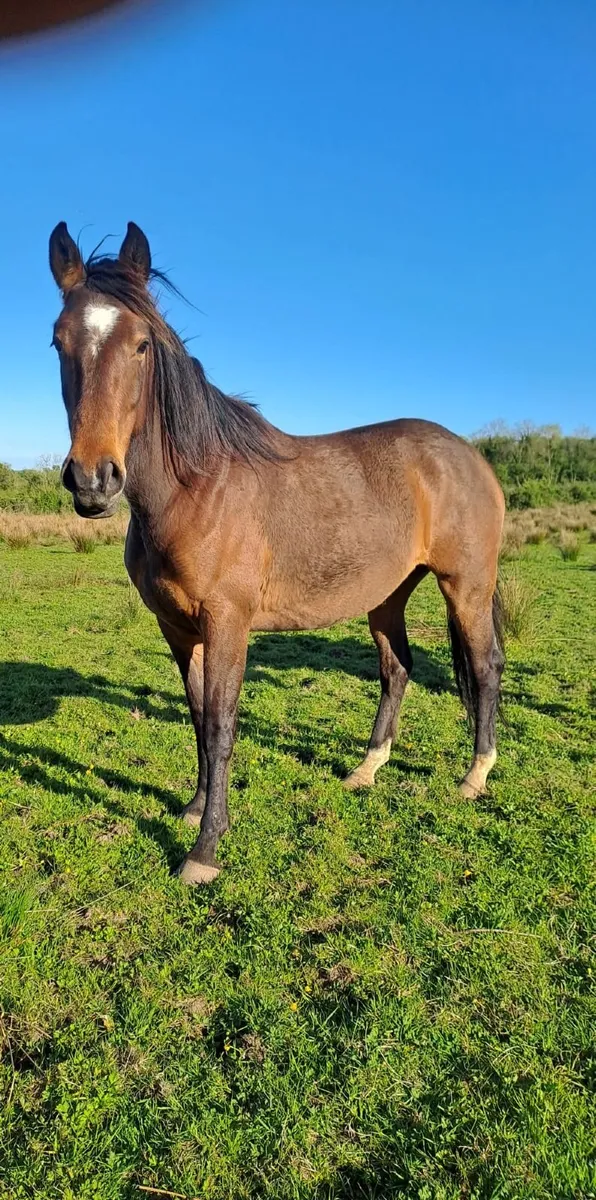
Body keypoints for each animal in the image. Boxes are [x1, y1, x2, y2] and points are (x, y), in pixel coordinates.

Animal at [49, 220, 505, 885]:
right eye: (58, 341)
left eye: (141, 345)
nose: (92, 480)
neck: (197, 488)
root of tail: (472, 456)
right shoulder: (177, 629)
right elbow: (196, 719)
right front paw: (194, 808)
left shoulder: (228, 623)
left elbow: (220, 725)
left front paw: (205, 850)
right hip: (389, 594)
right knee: (397, 669)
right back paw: (367, 769)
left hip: (466, 586)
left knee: (485, 668)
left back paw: (475, 775)